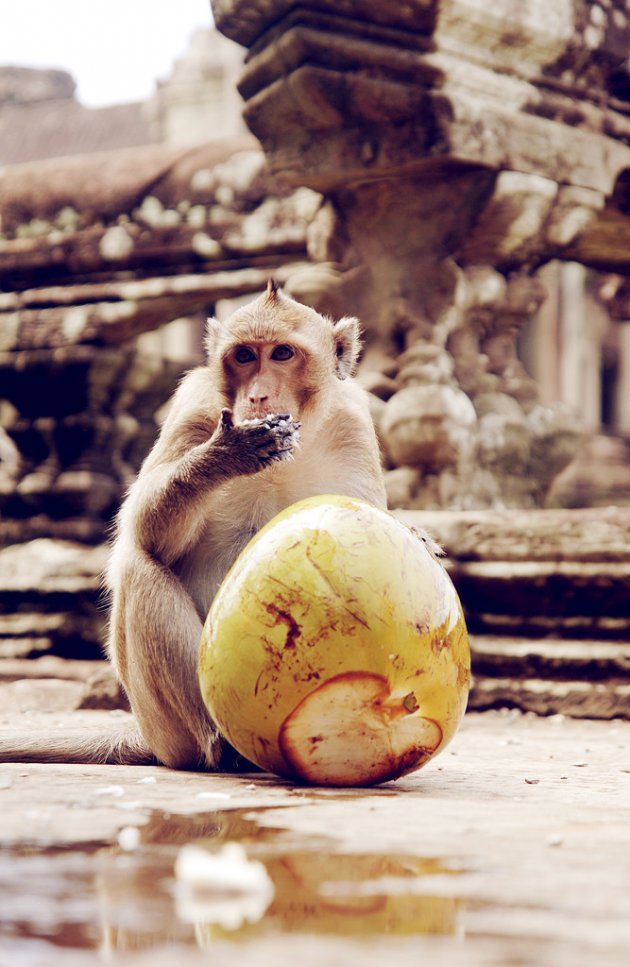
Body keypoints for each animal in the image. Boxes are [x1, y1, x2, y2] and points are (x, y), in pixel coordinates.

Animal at [0, 280, 388, 772]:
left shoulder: (353, 420)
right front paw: (223, 456)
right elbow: (144, 532)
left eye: (282, 353)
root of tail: (149, 737)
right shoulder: (195, 403)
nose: (257, 396)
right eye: (244, 356)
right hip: (167, 727)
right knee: (138, 566)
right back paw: (224, 746)